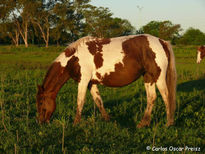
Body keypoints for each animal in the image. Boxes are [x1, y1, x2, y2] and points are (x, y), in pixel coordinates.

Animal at [36, 34, 177, 127]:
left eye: (41, 102)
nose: (41, 122)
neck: (74, 58)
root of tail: (162, 42)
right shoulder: (91, 83)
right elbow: (98, 101)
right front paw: (107, 119)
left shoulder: (83, 81)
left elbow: (80, 101)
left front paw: (76, 123)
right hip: (148, 77)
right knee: (151, 98)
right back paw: (144, 123)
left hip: (158, 77)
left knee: (166, 96)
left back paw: (168, 123)